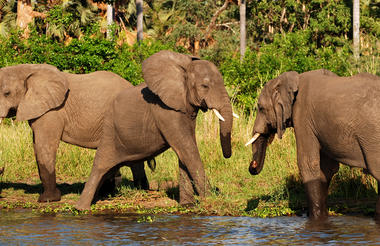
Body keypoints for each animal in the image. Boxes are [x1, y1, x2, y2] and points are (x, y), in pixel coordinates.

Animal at [0, 64, 150, 203]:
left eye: (7, 93)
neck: (28, 69)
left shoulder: (52, 111)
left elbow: (44, 147)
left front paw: (47, 200)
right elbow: (37, 145)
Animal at [74, 49, 233, 209]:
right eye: (204, 86)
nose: (227, 156)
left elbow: (185, 151)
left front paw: (187, 205)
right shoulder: (164, 110)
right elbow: (187, 149)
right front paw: (212, 201)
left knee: (110, 169)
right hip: (110, 131)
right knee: (101, 166)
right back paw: (81, 209)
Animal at [246, 69, 380, 221]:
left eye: (261, 108)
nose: (253, 167)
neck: (292, 80)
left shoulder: (302, 116)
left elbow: (308, 164)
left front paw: (315, 218)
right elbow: (327, 168)